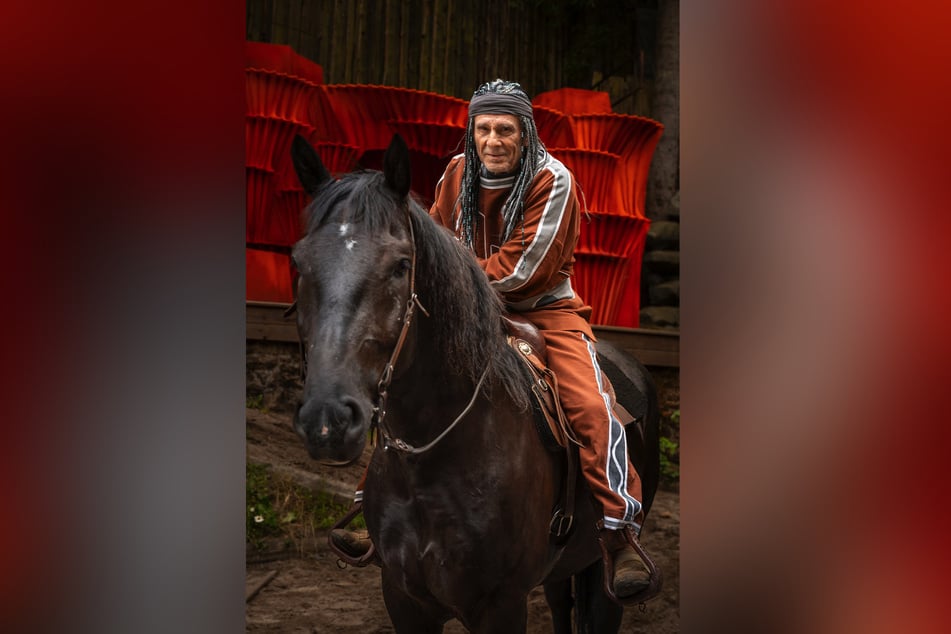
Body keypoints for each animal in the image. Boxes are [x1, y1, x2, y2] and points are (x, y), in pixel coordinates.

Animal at [290, 135, 660, 632]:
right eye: (299, 261)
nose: (327, 419)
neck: (435, 458)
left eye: (401, 265)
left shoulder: (500, 605)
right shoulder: (404, 599)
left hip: (600, 578)